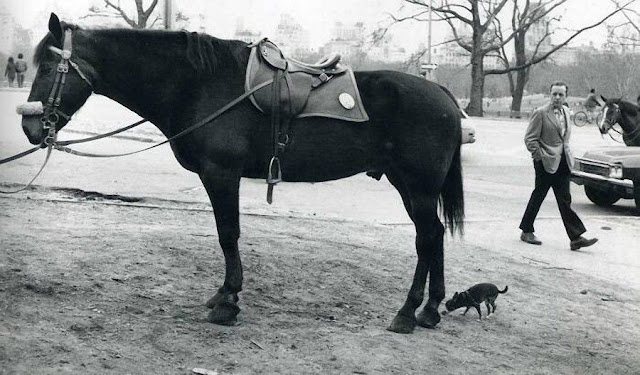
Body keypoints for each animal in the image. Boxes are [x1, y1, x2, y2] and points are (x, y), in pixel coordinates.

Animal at [20, 13, 460, 334]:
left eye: (49, 66)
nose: (29, 127)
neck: (199, 84)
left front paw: (228, 301)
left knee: (426, 238)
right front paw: (224, 296)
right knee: (434, 235)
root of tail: (443, 94)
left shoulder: (221, 174)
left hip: (418, 186)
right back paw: (429, 310)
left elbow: (227, 233)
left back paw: (406, 312)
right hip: (407, 185)